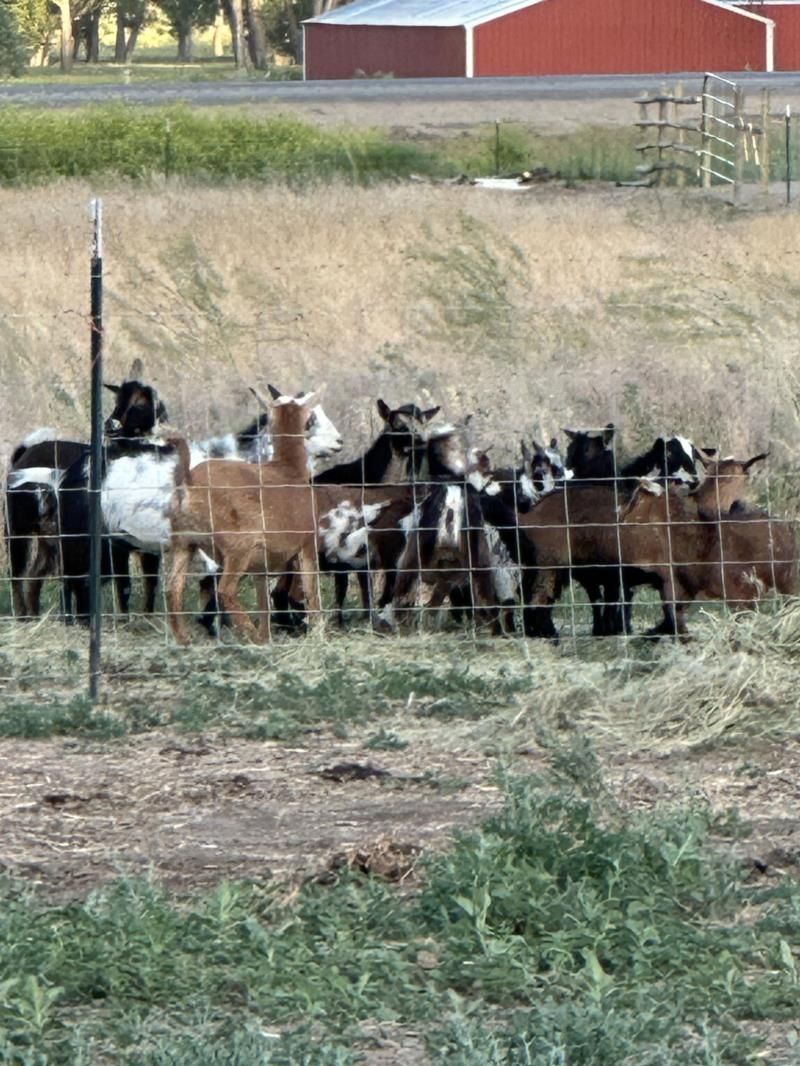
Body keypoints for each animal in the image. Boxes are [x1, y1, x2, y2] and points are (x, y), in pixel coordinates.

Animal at [166, 389, 333, 645]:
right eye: (311, 419)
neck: (289, 471)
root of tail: (189, 483)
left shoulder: (260, 566)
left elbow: (264, 601)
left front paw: (266, 637)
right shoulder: (306, 544)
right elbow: (312, 592)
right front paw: (319, 635)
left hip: (183, 543)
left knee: (173, 588)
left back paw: (185, 639)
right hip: (236, 548)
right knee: (224, 589)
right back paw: (249, 633)